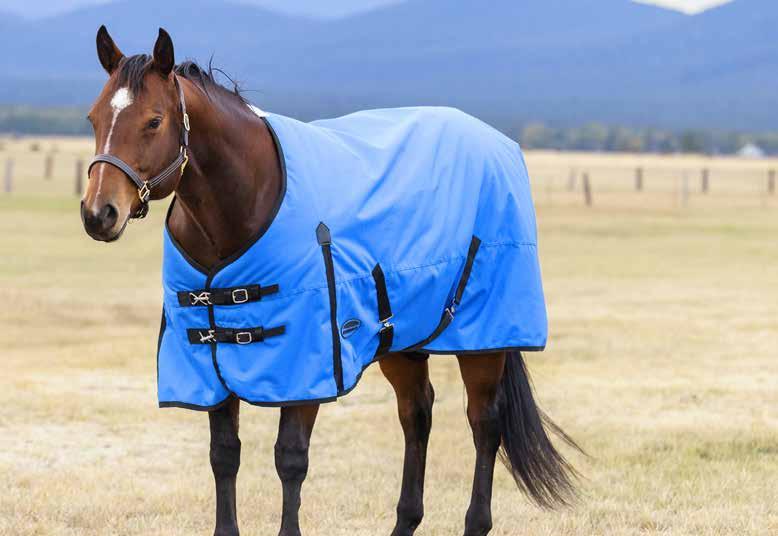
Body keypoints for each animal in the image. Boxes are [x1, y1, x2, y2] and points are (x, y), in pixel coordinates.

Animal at [80, 26, 579, 536]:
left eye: (154, 121)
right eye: (94, 117)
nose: (99, 213)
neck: (245, 201)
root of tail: (497, 143)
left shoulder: (307, 365)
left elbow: (290, 460)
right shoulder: (210, 361)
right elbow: (224, 456)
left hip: (485, 338)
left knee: (485, 423)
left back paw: (475, 520)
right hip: (402, 340)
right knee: (417, 415)